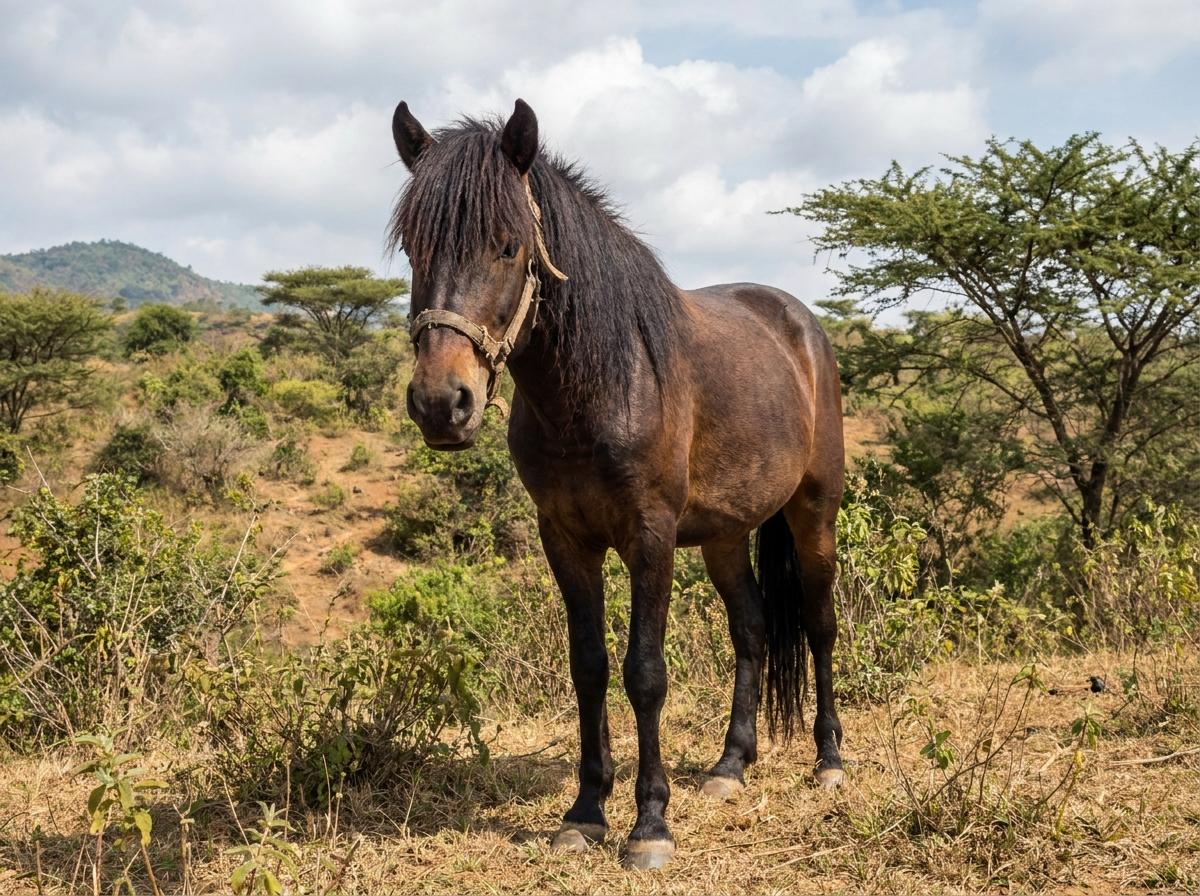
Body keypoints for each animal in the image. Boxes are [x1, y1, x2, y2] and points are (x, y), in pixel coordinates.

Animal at [389, 98, 846, 871]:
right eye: (414, 250)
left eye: (508, 246)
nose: (441, 403)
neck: (603, 383)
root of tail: (802, 326)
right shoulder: (566, 539)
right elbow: (590, 667)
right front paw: (585, 811)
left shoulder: (649, 537)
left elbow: (645, 673)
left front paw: (650, 825)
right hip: (725, 536)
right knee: (752, 629)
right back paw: (730, 765)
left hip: (814, 514)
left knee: (818, 624)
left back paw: (830, 759)